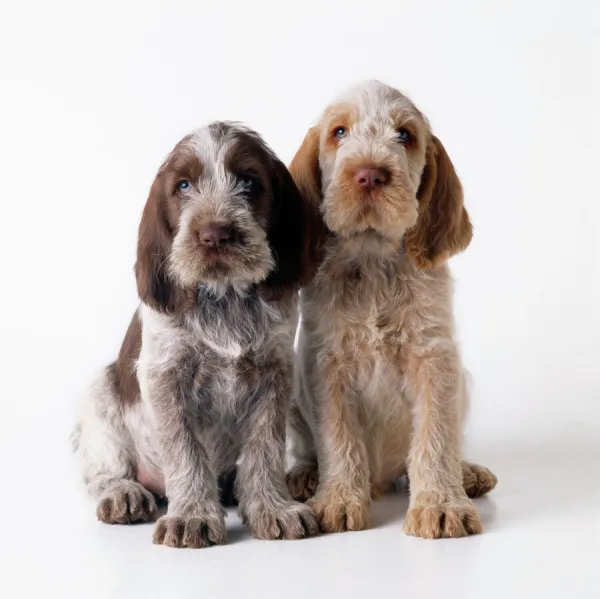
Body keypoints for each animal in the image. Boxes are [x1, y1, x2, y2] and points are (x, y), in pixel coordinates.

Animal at [72, 122, 318, 548]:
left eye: (249, 181)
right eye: (183, 185)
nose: (215, 234)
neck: (225, 296)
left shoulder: (275, 375)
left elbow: (265, 447)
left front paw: (273, 507)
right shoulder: (165, 376)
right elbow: (185, 450)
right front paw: (192, 516)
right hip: (100, 396)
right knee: (103, 472)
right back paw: (124, 493)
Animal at [286, 81, 496, 540]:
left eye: (405, 135)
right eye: (339, 132)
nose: (370, 175)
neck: (372, 260)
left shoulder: (434, 358)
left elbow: (436, 436)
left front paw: (441, 504)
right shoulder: (325, 363)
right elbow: (338, 436)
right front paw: (339, 498)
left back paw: (466, 473)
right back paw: (305, 475)